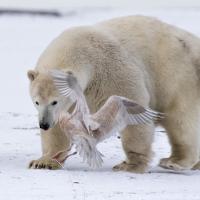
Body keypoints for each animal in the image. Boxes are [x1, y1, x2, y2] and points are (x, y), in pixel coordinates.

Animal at [27, 15, 200, 172]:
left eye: (54, 101)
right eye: (36, 102)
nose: (44, 124)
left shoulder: (110, 71)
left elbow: (131, 108)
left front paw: (130, 164)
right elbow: (59, 128)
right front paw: (44, 162)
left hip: (175, 76)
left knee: (180, 120)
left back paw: (175, 161)